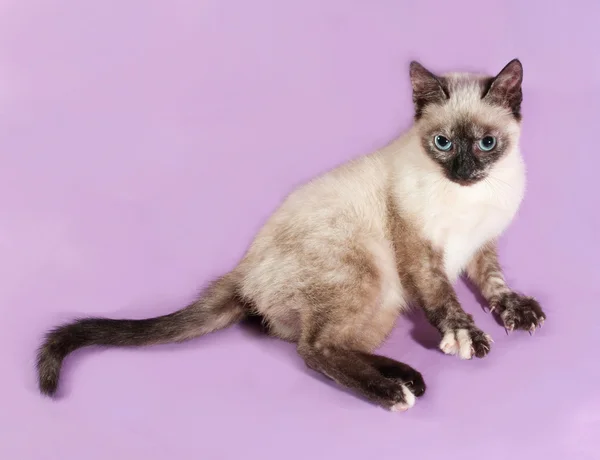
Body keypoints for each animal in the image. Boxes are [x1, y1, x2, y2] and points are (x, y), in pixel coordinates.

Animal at [35, 58, 548, 410]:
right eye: (443, 143)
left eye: (486, 144)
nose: (463, 172)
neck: (469, 200)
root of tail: (242, 272)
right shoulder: (421, 252)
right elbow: (446, 299)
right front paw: (466, 335)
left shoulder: (482, 243)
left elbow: (493, 281)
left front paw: (515, 310)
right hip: (371, 275)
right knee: (313, 349)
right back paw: (395, 392)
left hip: (382, 305)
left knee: (332, 343)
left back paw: (407, 377)